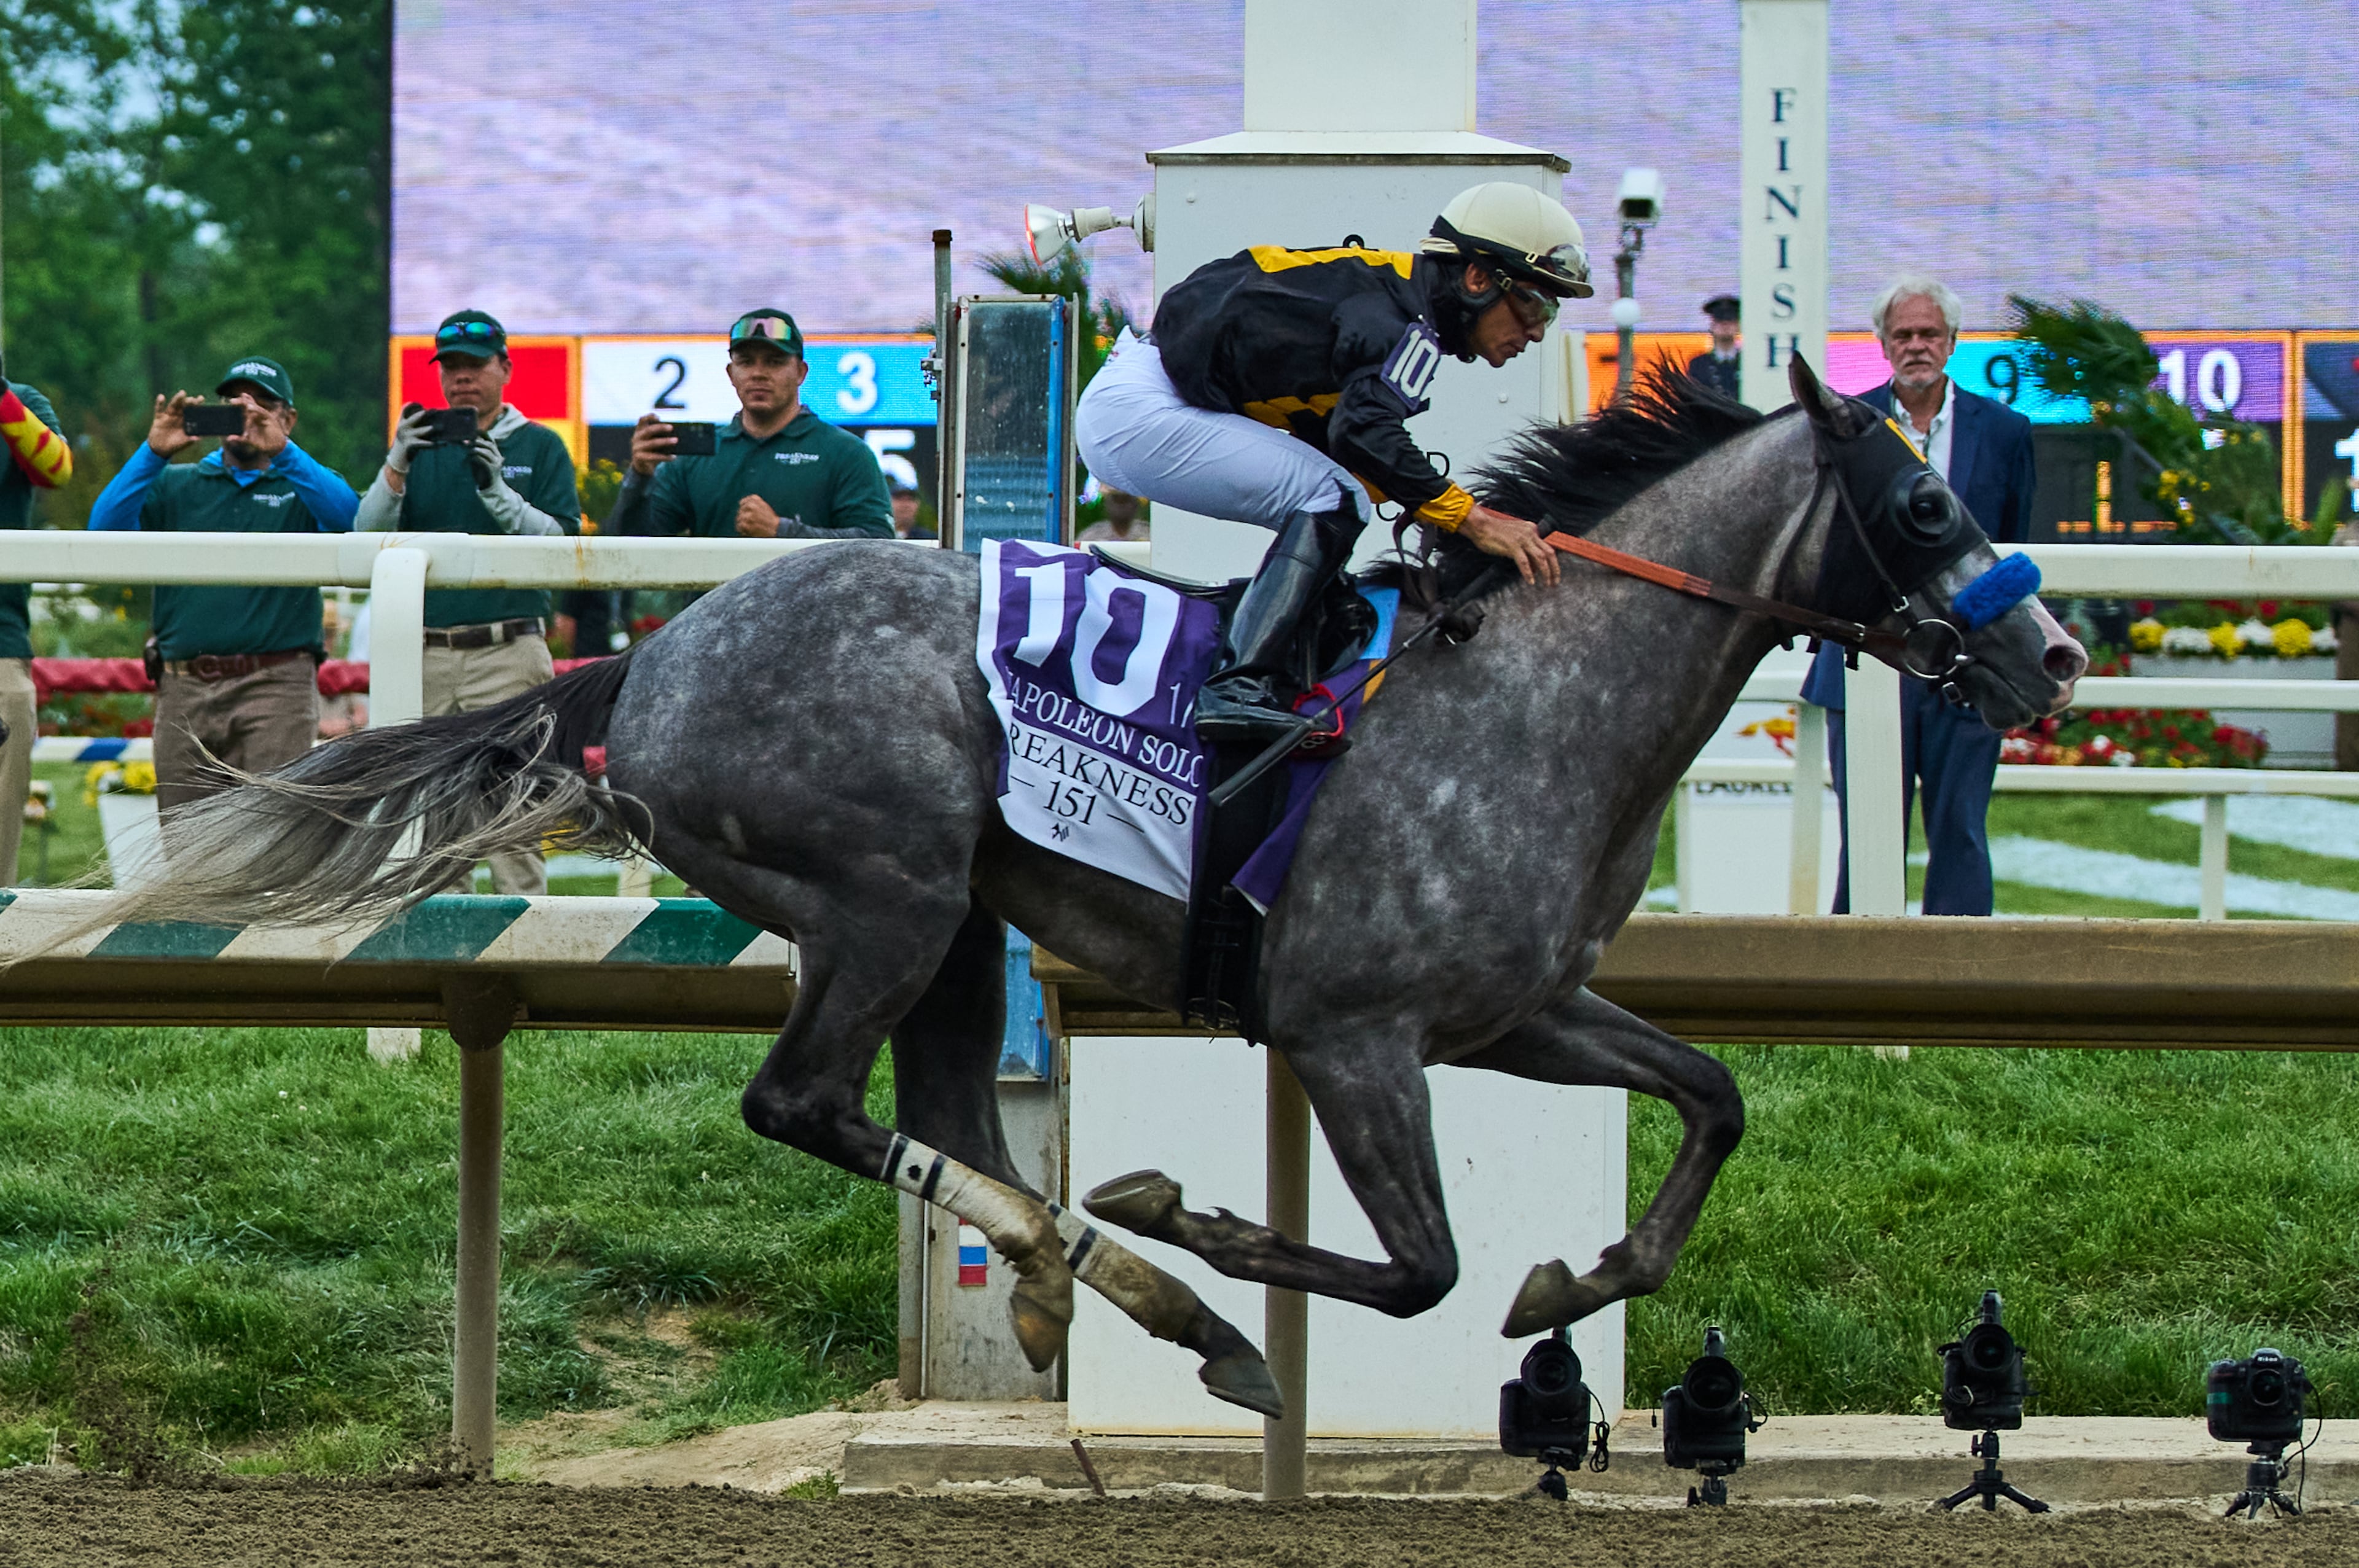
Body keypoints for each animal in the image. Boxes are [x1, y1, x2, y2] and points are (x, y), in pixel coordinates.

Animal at [96, 358, 2084, 1420]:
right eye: (1919, 507)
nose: (2052, 654)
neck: (1529, 694)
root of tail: (640, 660)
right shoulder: (1353, 1028)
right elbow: (1415, 1267)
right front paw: (1213, 1238)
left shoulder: (1511, 1009)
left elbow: (1710, 1092)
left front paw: (1584, 1273)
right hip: (884, 895)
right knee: (805, 1099)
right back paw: (1158, 1290)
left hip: (958, 920)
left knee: (939, 1114)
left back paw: (1084, 1274)